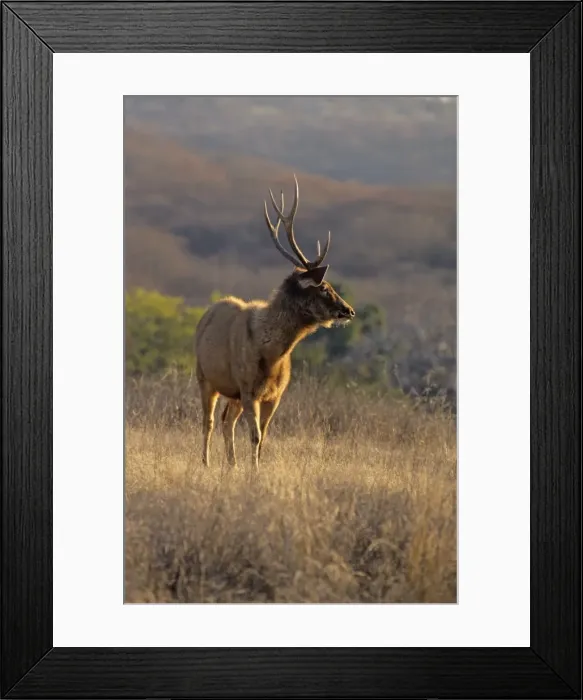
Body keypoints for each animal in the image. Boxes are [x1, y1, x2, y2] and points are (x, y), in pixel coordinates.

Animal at [194, 175, 355, 469]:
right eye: (324, 287)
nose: (349, 310)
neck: (271, 354)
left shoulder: (274, 394)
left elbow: (263, 437)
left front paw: (253, 469)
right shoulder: (248, 388)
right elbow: (255, 436)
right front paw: (254, 472)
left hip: (233, 392)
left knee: (226, 421)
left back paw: (232, 465)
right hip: (205, 376)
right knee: (208, 421)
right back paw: (206, 463)